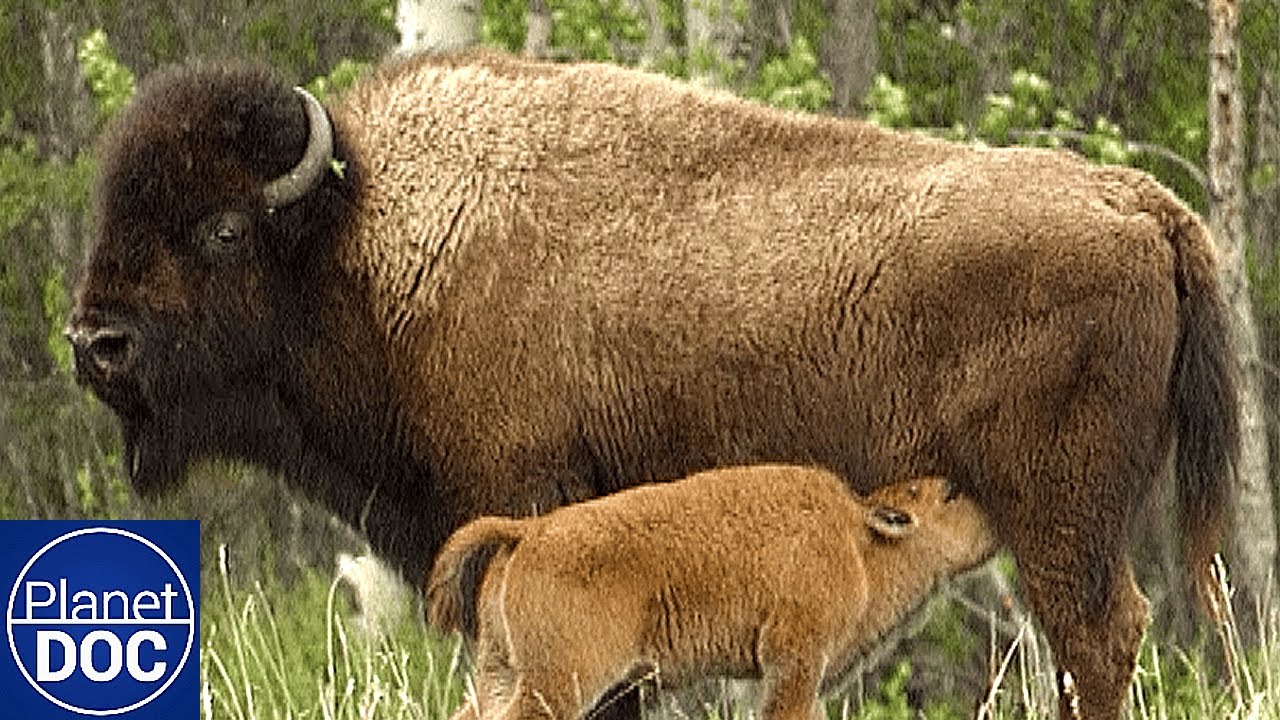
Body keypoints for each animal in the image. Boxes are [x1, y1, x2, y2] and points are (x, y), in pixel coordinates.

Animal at [69, 50, 1237, 719]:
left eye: (222, 228)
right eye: (115, 209)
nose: (94, 341)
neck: (363, 243)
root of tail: (1147, 207)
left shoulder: (521, 497)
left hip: (1059, 512)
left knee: (1095, 637)